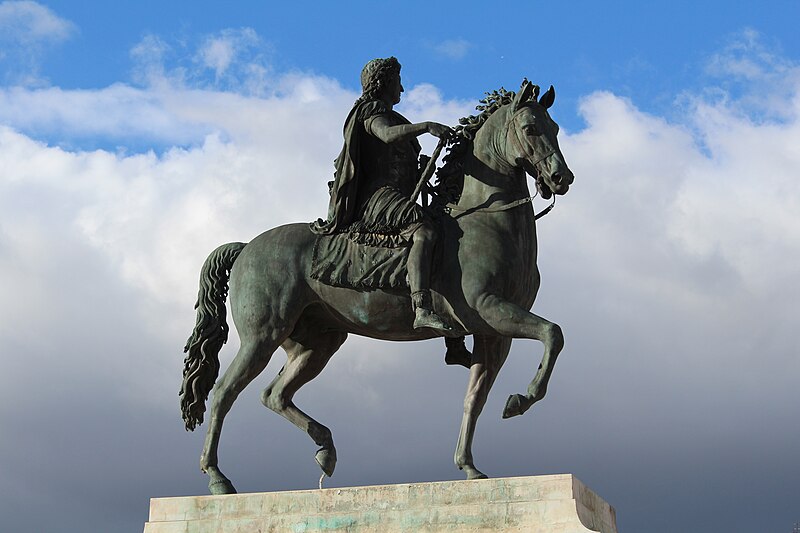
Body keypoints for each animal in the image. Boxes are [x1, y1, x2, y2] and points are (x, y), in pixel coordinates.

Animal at [180, 80, 576, 494]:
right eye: (530, 128)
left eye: (556, 128)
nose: (561, 178)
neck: (485, 220)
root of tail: (246, 247)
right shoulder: (490, 309)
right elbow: (553, 333)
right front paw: (522, 398)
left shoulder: (492, 332)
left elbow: (475, 397)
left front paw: (469, 465)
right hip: (263, 336)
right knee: (224, 393)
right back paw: (218, 478)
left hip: (316, 343)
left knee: (274, 395)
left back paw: (325, 449)